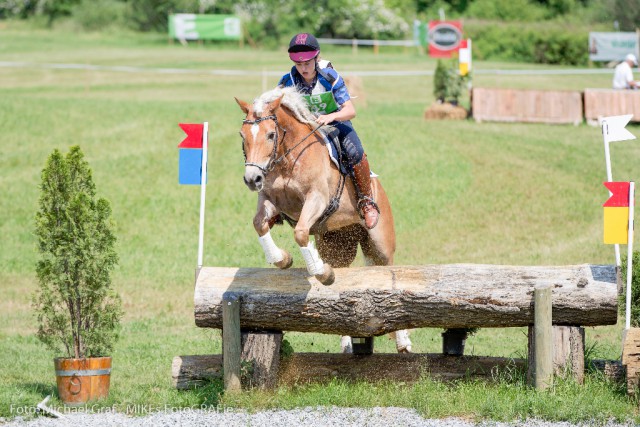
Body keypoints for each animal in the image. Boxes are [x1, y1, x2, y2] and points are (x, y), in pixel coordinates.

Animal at [234, 87, 410, 354]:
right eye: (242, 135)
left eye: (271, 134)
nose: (252, 178)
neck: (287, 158)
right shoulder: (270, 200)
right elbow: (260, 224)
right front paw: (283, 259)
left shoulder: (317, 198)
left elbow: (300, 232)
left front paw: (321, 272)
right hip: (338, 245)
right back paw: (347, 344)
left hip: (380, 244)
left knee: (389, 272)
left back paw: (403, 342)